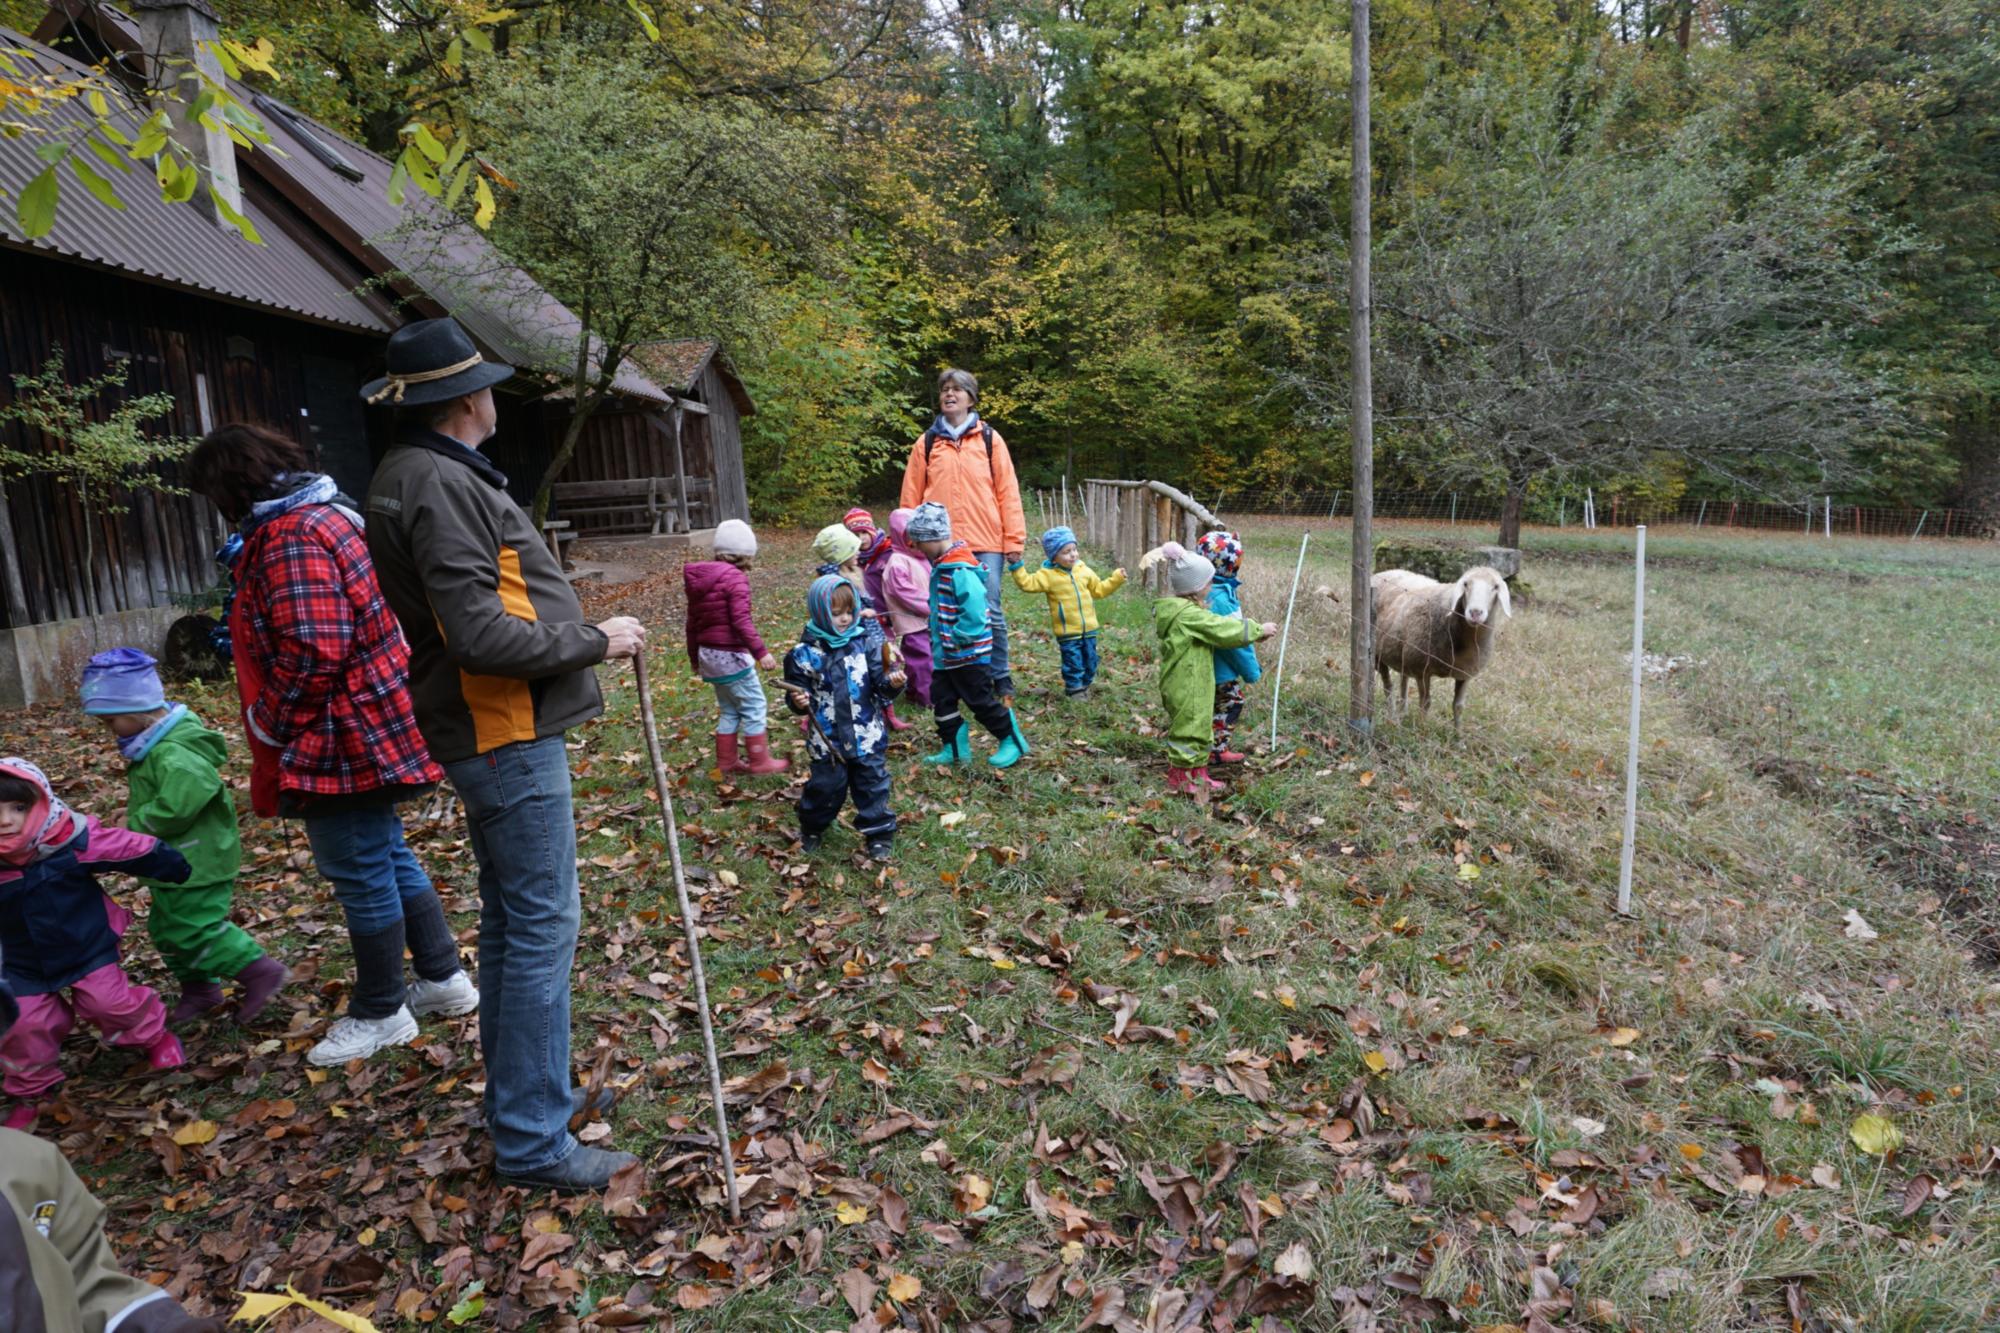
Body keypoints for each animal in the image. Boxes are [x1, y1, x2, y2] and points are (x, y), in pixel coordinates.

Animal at [1376, 564, 1512, 728]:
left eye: (1496, 586)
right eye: (1465, 584)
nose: (1475, 612)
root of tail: (1383, 572)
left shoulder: (1465, 673)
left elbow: (1458, 706)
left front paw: (1458, 734)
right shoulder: (1421, 670)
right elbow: (1425, 703)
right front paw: (1422, 728)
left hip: (1404, 654)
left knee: (1404, 681)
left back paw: (1403, 712)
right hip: (1379, 654)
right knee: (1388, 686)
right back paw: (1393, 716)